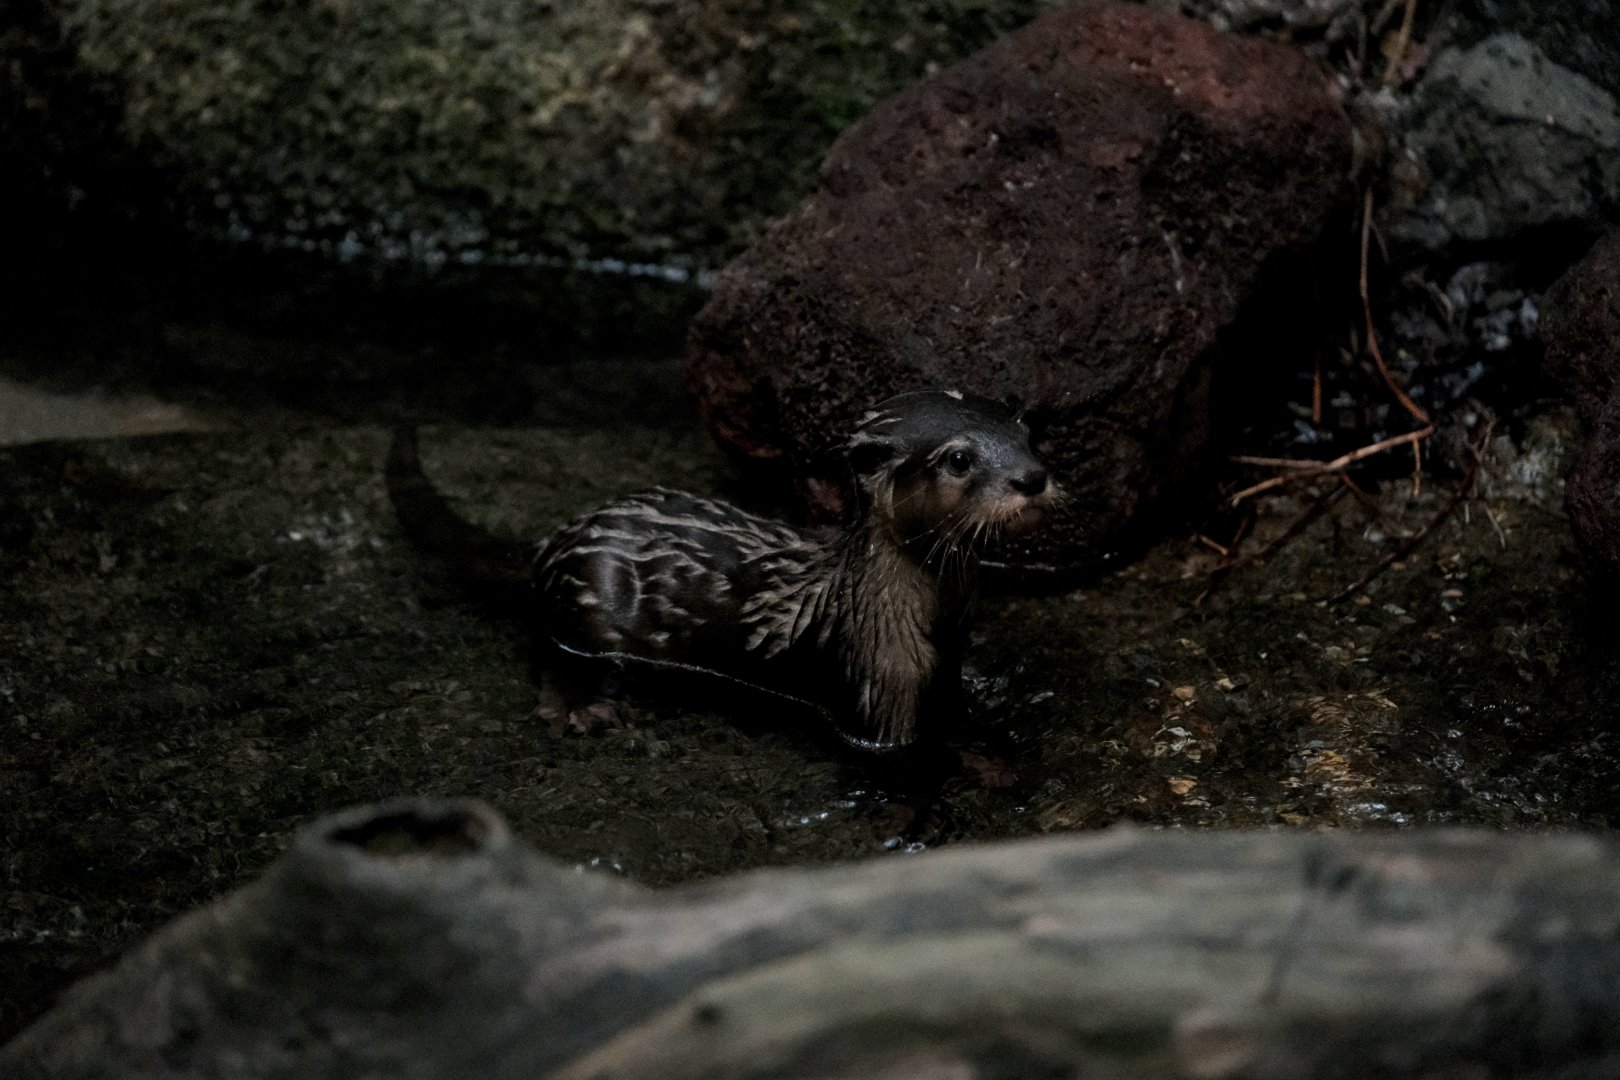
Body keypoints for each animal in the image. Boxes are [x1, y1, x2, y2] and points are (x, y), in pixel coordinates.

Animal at [387, 390, 1056, 750]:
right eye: (959, 459)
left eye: (1029, 434)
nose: (1032, 477)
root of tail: (558, 538)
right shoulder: (878, 689)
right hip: (586, 605)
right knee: (557, 648)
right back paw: (578, 708)